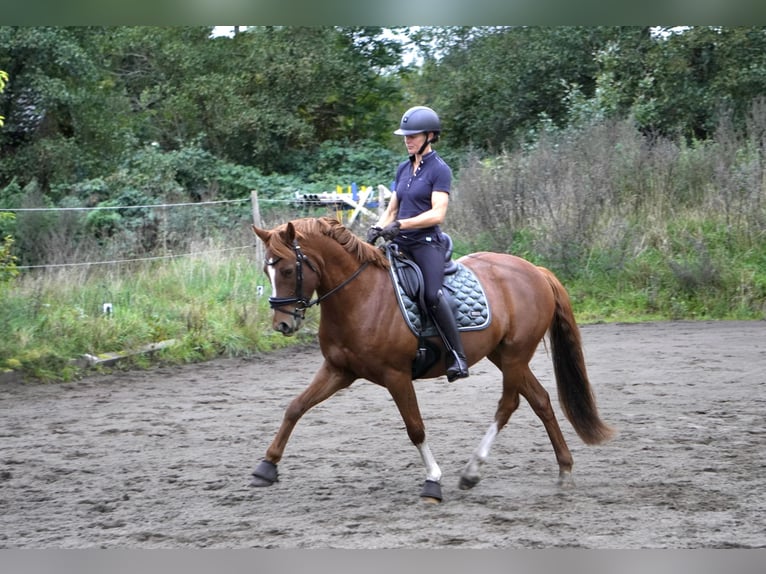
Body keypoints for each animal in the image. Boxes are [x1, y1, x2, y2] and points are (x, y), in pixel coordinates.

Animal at [250, 216, 614, 502]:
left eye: (286, 269)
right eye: (266, 271)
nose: (283, 325)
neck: (362, 296)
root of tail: (535, 270)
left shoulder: (395, 376)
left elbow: (416, 428)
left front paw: (433, 481)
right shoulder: (339, 370)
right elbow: (296, 407)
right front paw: (266, 467)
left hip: (515, 355)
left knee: (508, 405)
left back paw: (472, 471)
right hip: (504, 356)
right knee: (540, 400)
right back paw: (565, 470)